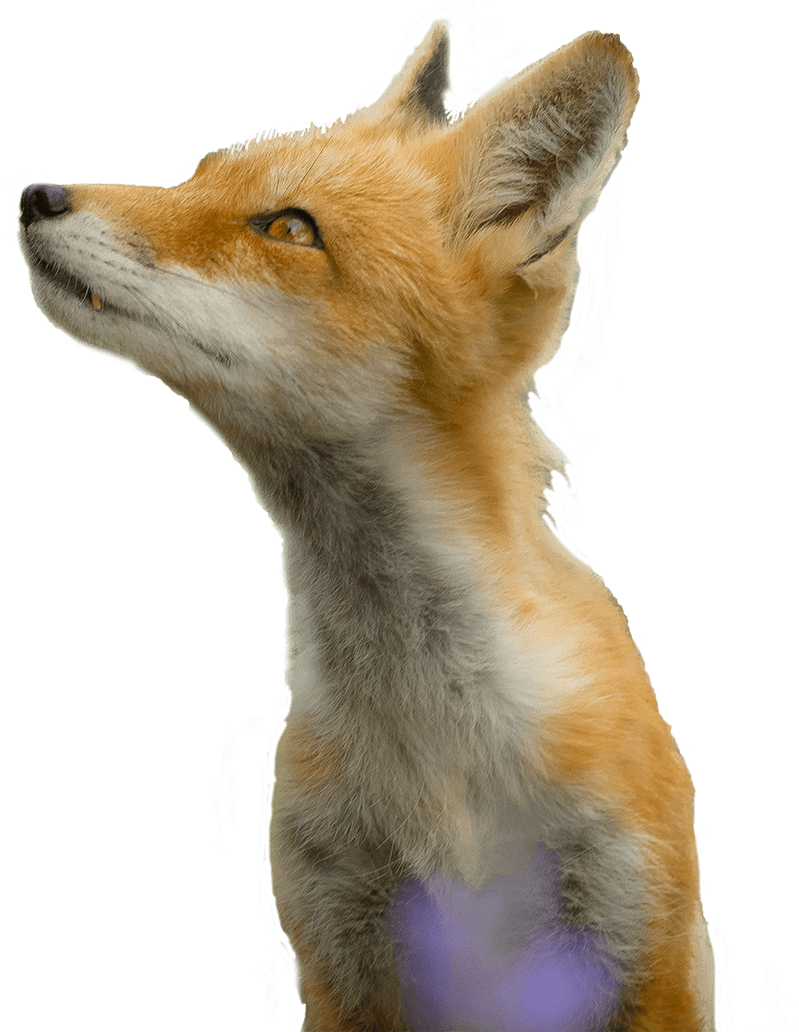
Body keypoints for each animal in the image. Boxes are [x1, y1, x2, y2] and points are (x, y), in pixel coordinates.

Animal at [17, 19, 714, 1032]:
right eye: (197, 180)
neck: (435, 744)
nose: (36, 195)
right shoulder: (338, 952)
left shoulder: (644, 947)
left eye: (287, 228)